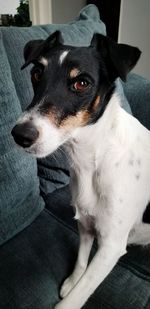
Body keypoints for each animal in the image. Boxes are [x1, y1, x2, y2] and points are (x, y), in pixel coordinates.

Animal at [10, 31, 150, 308]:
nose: (20, 135)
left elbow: (78, 296)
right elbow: (81, 261)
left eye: (82, 83)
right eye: (37, 73)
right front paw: (73, 281)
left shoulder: (111, 246)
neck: (94, 157)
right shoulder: (85, 223)